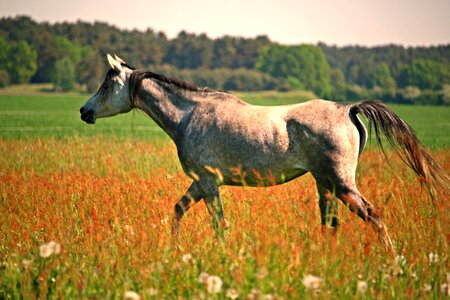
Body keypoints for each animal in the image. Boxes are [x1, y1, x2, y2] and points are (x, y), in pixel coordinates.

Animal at [79, 54, 448, 251]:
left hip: (342, 184)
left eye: (107, 82)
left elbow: (219, 225)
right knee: (330, 224)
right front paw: (175, 250)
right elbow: (177, 211)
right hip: (325, 184)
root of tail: (349, 109)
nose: (85, 111)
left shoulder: (208, 184)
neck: (189, 115)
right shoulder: (199, 184)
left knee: (373, 217)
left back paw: (392, 260)